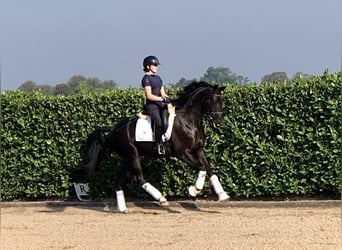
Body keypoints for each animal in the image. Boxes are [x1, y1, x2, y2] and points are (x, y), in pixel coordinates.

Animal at [76, 81, 228, 212]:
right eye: (212, 100)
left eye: (220, 101)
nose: (219, 123)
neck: (189, 120)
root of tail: (114, 131)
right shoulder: (183, 153)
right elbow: (202, 168)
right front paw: (194, 190)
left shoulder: (198, 151)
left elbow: (209, 169)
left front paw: (222, 195)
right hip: (132, 155)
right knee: (140, 178)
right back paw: (161, 198)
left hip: (126, 159)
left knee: (119, 183)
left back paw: (123, 209)